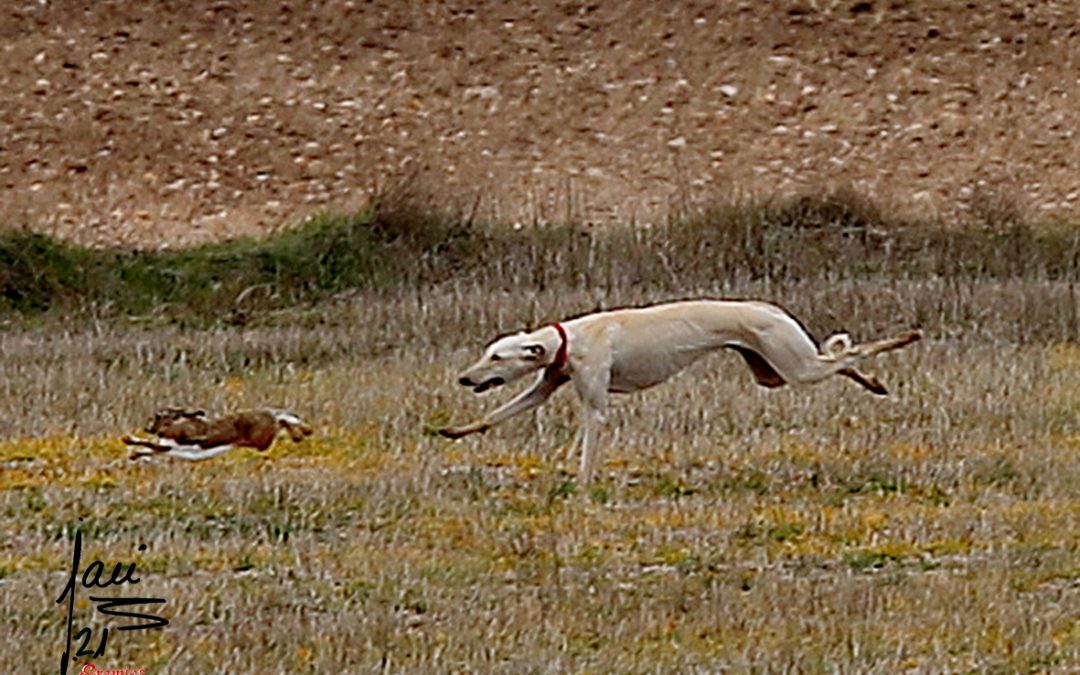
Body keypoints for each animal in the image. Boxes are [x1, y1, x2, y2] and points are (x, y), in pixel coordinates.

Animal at [125, 406, 315, 457]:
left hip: (259, 439)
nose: (148, 428)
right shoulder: (166, 449)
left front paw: (127, 441)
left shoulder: (173, 446)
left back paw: (302, 432)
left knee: (283, 419)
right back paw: (300, 435)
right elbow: (149, 449)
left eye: (159, 416)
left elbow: (148, 444)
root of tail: (269, 414)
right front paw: (133, 454)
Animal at [438, 300, 920, 483]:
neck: (568, 340)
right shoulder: (546, 385)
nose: (464, 378)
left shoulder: (595, 402)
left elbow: (590, 443)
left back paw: (904, 340)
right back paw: (873, 380)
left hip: (794, 365)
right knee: (844, 360)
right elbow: (498, 413)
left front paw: (581, 486)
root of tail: (772, 310)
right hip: (773, 371)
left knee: (848, 354)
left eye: (497, 357)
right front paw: (456, 430)